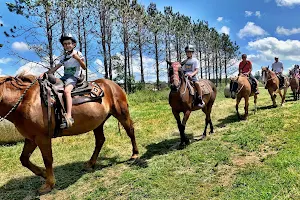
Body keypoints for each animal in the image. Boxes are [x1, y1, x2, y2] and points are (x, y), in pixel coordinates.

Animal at [0, 74, 138, 194]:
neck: (25, 101)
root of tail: (113, 84)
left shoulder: (42, 138)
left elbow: (47, 159)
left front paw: (49, 184)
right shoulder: (31, 138)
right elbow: (24, 159)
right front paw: (43, 173)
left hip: (122, 113)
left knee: (130, 131)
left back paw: (135, 154)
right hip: (98, 123)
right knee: (100, 140)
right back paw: (90, 163)